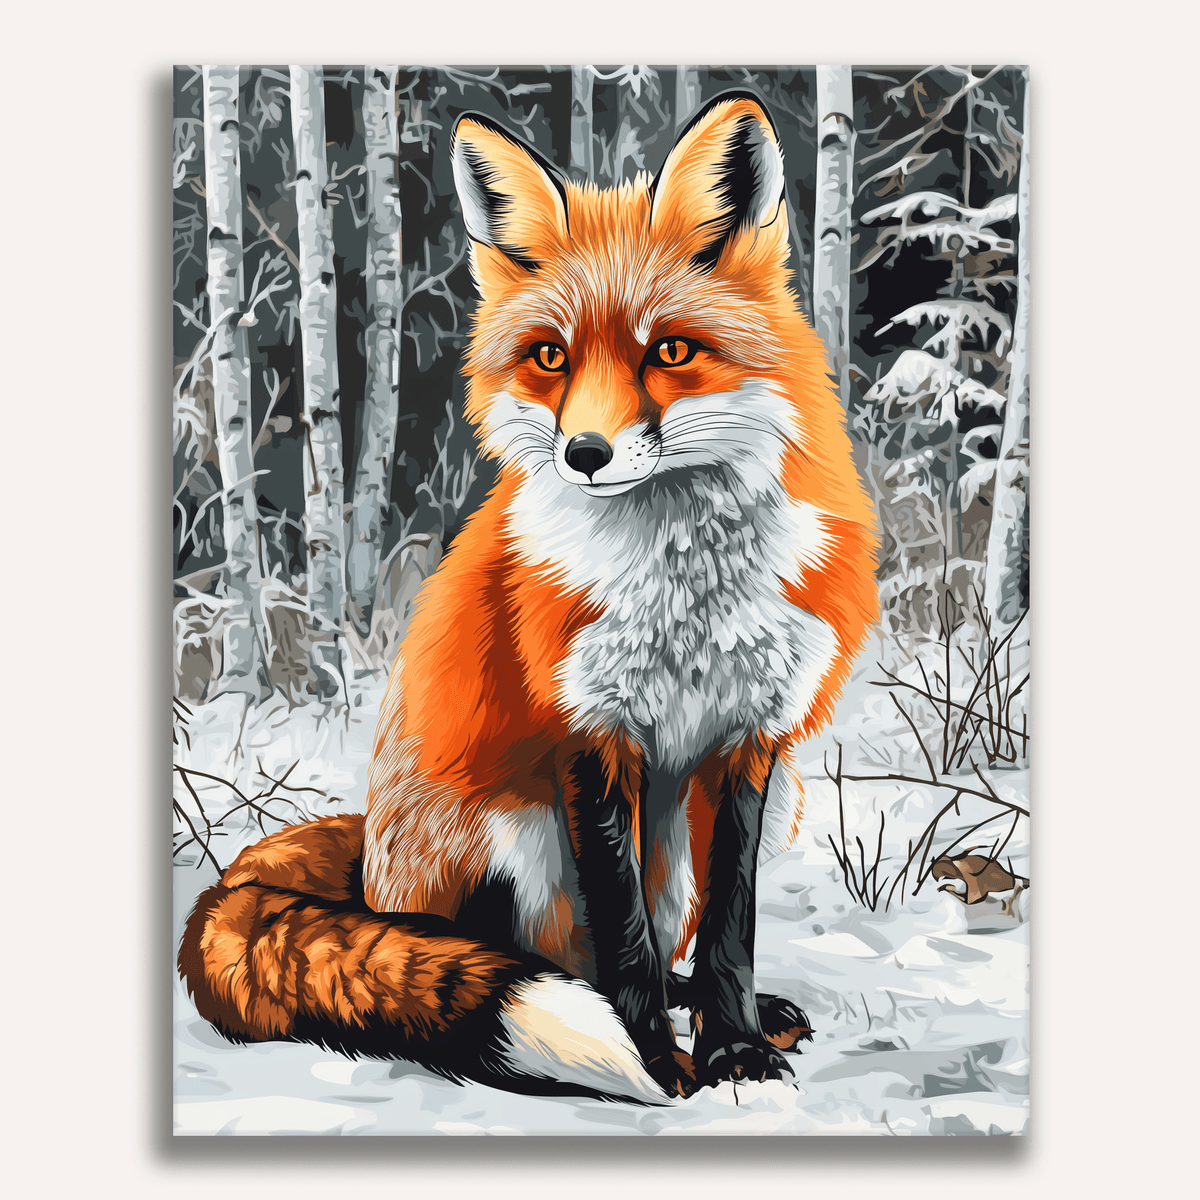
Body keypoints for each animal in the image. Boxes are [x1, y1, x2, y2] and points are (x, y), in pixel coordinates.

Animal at [179, 91, 878, 1103]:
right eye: (551, 357)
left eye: (670, 351)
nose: (585, 453)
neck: (684, 591)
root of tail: (367, 857)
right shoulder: (587, 733)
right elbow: (620, 941)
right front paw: (657, 1061)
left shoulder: (751, 740)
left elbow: (731, 929)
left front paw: (734, 1048)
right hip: (512, 836)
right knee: (529, 956)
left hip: (704, 823)